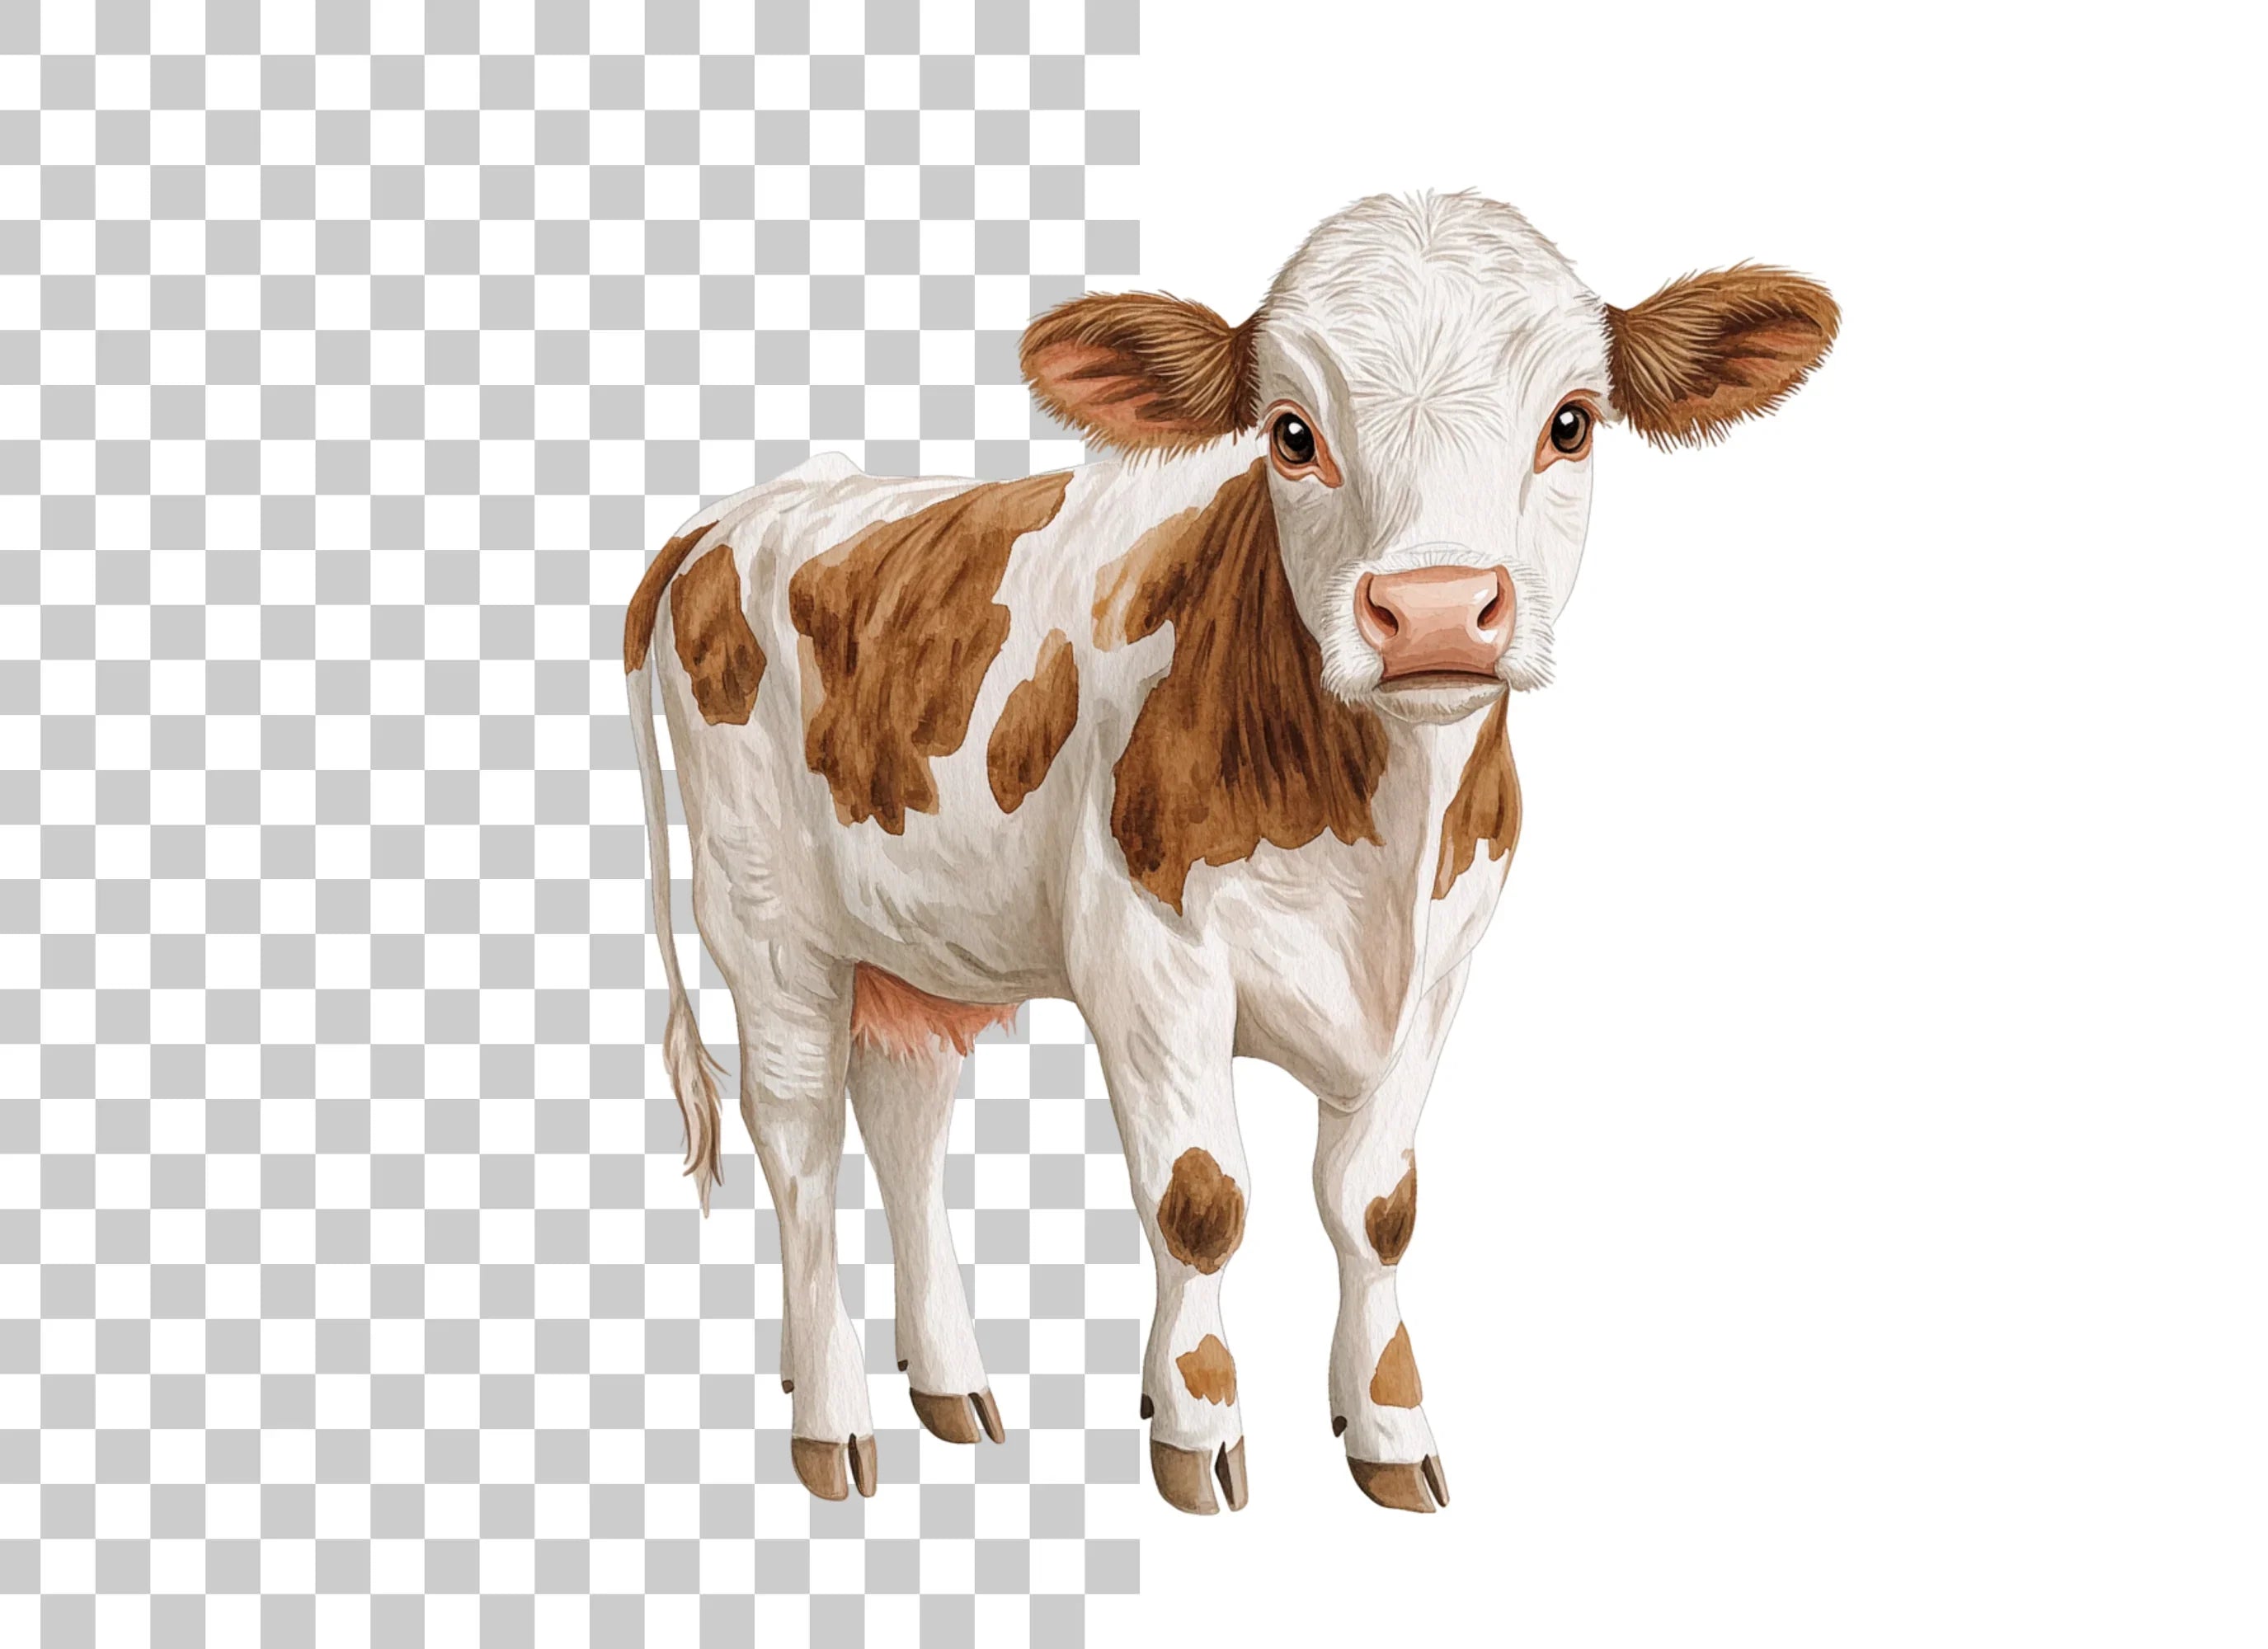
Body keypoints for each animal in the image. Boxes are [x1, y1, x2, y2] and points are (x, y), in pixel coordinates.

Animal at [624, 191, 1837, 1514]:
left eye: (1569, 422)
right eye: (1290, 433)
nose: (1432, 611)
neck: (1382, 847)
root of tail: (751, 504)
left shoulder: (1439, 975)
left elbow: (1376, 1209)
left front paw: (1389, 1431)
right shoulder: (1151, 965)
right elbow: (1199, 1199)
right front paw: (1195, 1428)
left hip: (917, 941)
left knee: (906, 1125)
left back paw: (946, 1383)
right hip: (765, 921)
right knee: (800, 1148)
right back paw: (833, 1417)